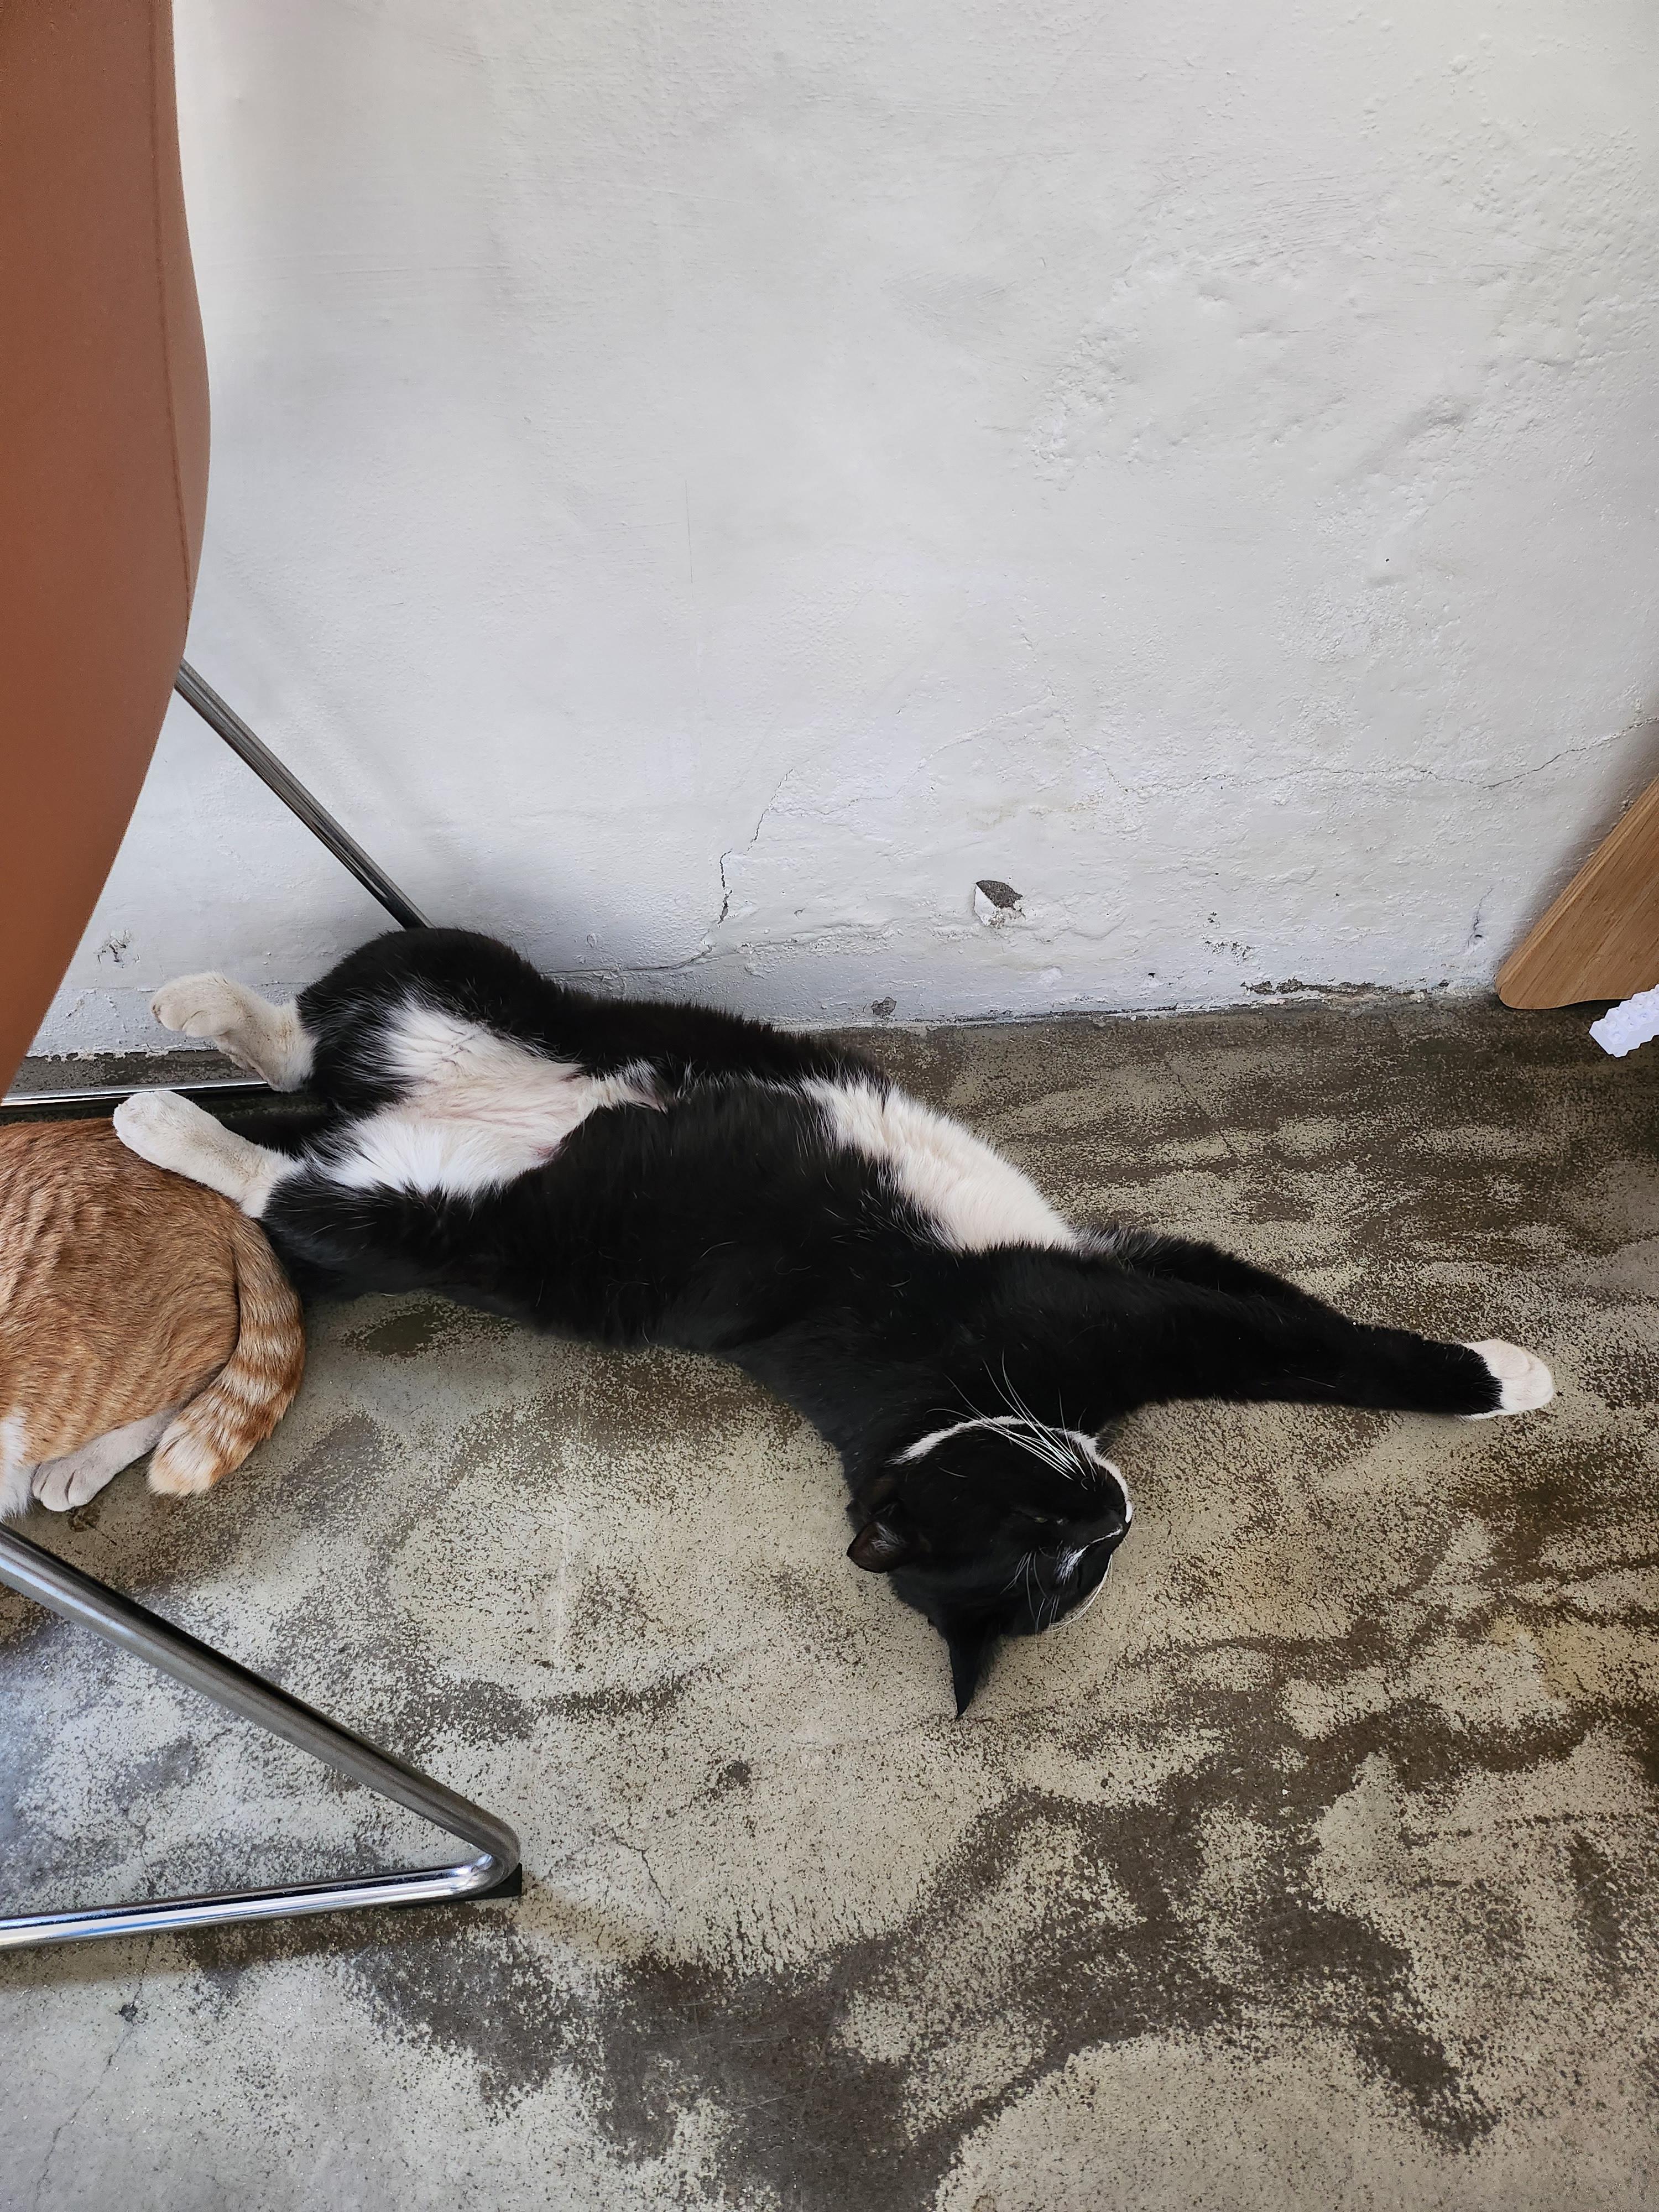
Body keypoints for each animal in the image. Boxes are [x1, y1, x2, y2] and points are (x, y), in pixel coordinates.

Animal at [112, 928, 1554, 1711]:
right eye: (1052, 1555)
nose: (1114, 1513)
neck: (957, 1400)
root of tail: (403, 1111)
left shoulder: (1124, 1265)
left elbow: (1277, 1299)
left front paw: (1507, 1363)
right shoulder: (1122, 1309)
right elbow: (1304, 1345)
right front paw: (1505, 1376)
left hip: (467, 988)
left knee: (315, 1037)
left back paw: (197, 1014)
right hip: (457, 1228)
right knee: (288, 1180)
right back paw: (160, 1117)